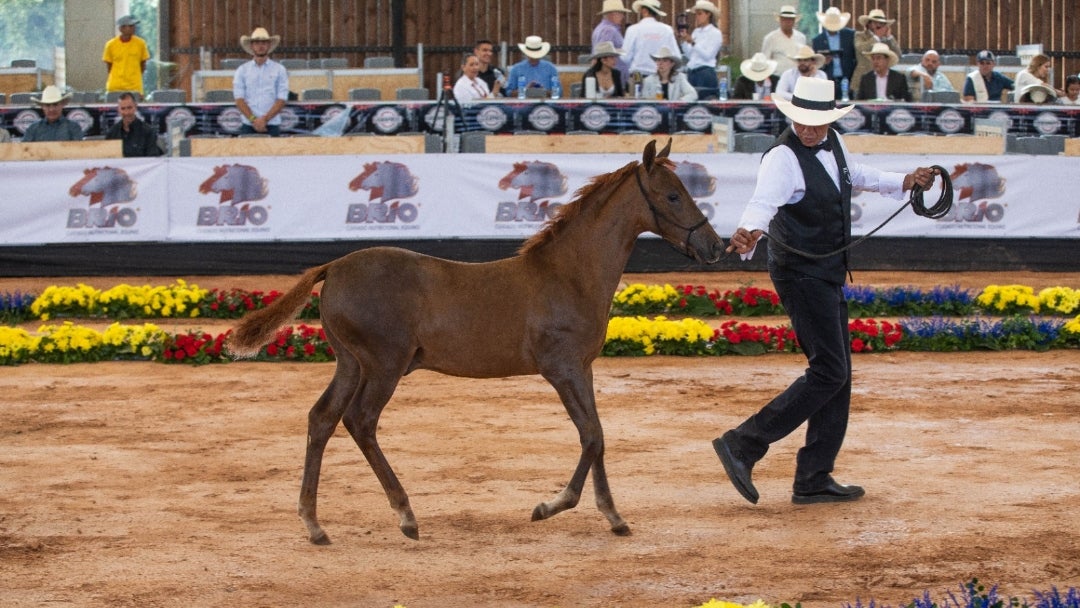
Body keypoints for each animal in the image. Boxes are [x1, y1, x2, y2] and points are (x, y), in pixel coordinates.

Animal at [227, 140, 725, 545]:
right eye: (673, 195)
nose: (716, 246)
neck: (567, 275)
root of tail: (333, 267)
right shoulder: (560, 369)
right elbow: (589, 436)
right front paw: (549, 507)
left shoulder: (582, 369)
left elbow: (598, 435)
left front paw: (614, 517)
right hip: (384, 364)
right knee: (360, 421)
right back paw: (406, 516)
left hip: (350, 363)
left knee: (322, 419)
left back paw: (314, 525)